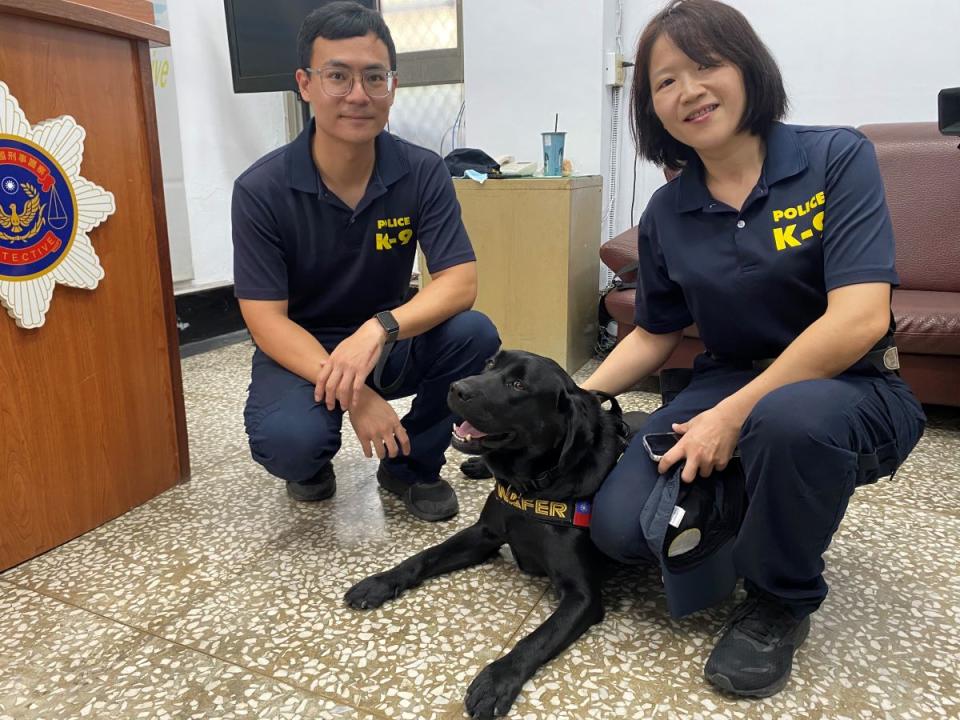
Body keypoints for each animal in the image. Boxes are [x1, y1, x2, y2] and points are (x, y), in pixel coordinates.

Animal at [344, 348, 632, 716]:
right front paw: (380, 582)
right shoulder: (483, 534)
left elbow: (538, 637)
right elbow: (423, 557)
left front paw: (497, 679)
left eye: (519, 385)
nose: (456, 388)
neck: (533, 486)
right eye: (491, 364)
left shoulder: (583, 597)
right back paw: (479, 465)